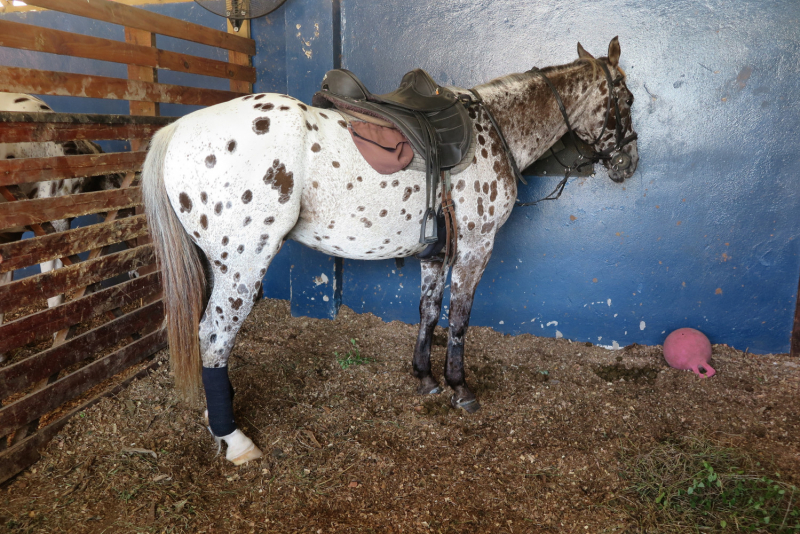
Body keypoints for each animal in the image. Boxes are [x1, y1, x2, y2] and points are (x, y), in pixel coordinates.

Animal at [141, 37, 640, 464]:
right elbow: (459, 318)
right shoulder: (476, 245)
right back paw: (234, 438)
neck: (494, 131)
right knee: (214, 336)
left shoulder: (437, 252)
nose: (629, 164)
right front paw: (459, 387)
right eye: (629, 100)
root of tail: (178, 129)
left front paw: (425, 377)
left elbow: (428, 312)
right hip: (244, 263)